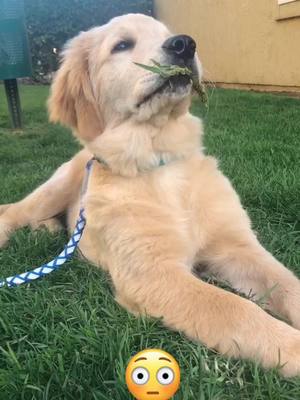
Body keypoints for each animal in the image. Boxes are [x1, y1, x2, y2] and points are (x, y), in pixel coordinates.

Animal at [1, 12, 300, 376]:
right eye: (122, 45)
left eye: (168, 34)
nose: (185, 45)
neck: (161, 160)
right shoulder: (152, 273)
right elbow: (235, 309)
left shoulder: (236, 246)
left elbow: (287, 283)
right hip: (55, 187)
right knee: (12, 210)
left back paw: (48, 228)